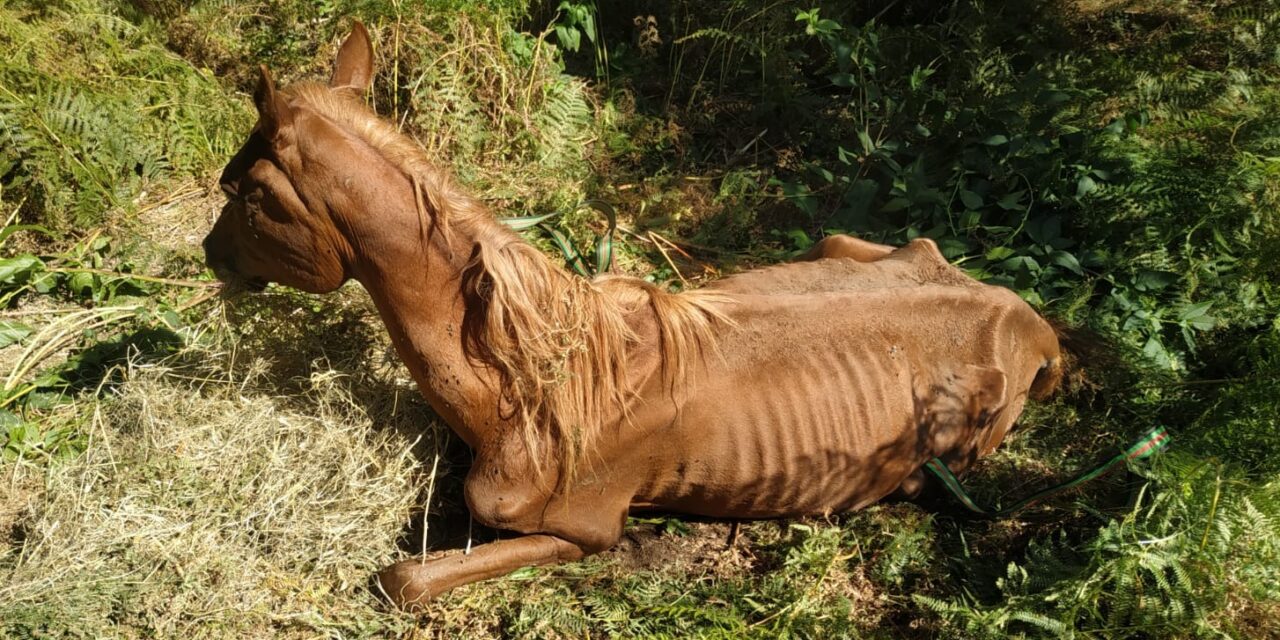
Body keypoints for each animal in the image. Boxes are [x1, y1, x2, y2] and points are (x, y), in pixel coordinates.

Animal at [202, 22, 1064, 609]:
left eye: (249, 193)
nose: (211, 254)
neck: (528, 381)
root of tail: (1033, 325)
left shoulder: (580, 530)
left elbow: (402, 580)